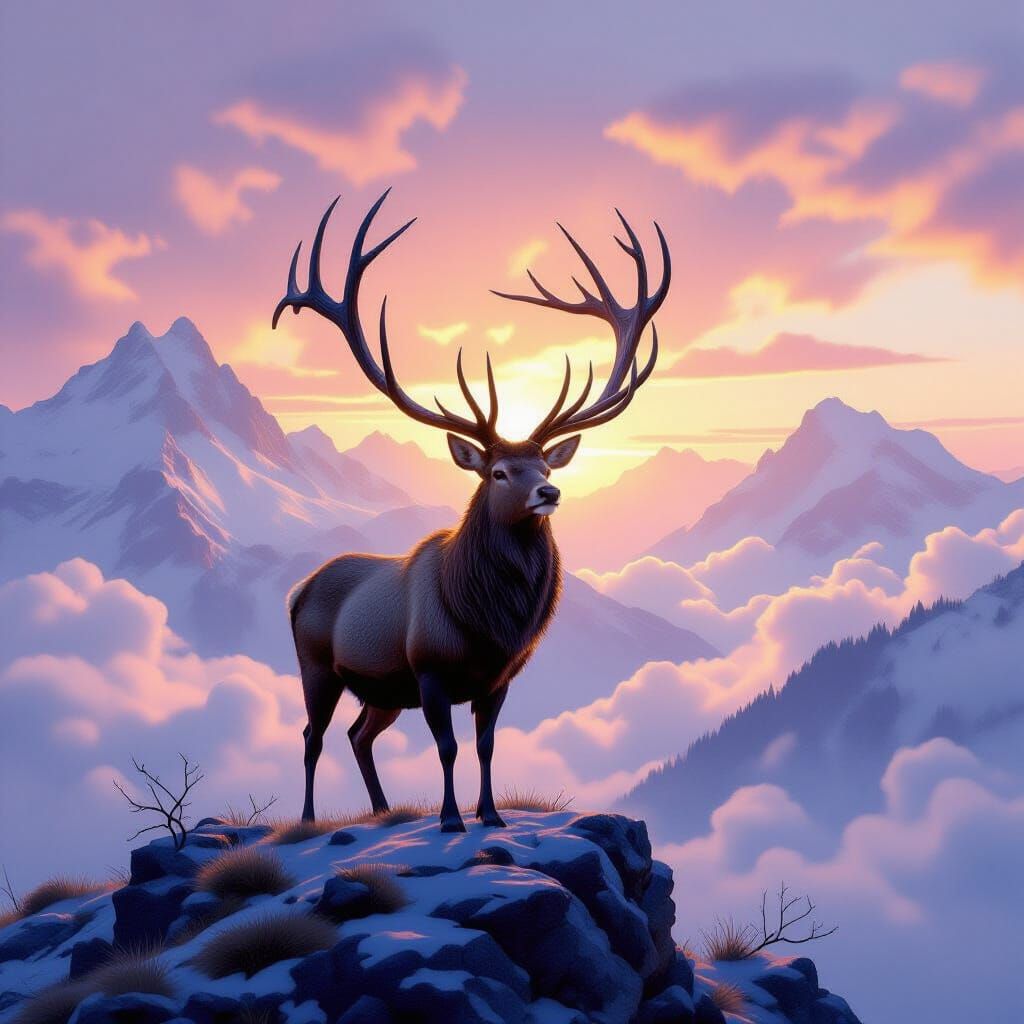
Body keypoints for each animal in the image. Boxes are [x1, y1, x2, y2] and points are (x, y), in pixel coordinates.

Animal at [274, 191, 670, 831]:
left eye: (547, 466)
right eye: (499, 472)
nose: (549, 494)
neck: (488, 624)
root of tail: (297, 591)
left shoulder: (498, 679)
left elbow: (485, 745)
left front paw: (489, 815)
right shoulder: (430, 670)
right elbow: (448, 746)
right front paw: (451, 818)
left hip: (382, 691)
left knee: (360, 735)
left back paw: (384, 810)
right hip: (318, 667)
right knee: (314, 736)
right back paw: (310, 818)